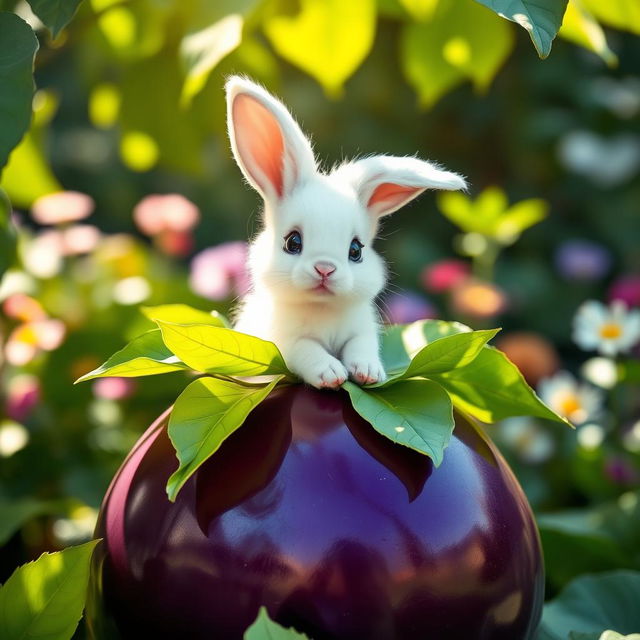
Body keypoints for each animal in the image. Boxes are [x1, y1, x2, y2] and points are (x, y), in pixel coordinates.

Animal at [225, 79, 464, 390]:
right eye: (292, 242)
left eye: (356, 250)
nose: (325, 268)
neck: (323, 308)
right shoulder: (286, 344)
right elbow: (308, 350)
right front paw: (331, 375)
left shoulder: (363, 332)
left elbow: (360, 347)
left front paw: (368, 372)